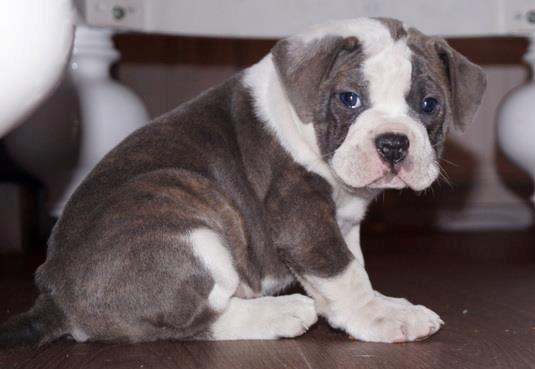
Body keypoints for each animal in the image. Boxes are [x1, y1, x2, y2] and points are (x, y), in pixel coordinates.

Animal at [0, 16, 486, 344]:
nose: (393, 143)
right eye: (349, 99)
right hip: (186, 219)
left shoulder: (343, 222)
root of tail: (55, 297)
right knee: (193, 322)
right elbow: (343, 272)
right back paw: (280, 313)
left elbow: (351, 265)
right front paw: (382, 316)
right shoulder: (301, 216)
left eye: (428, 105)